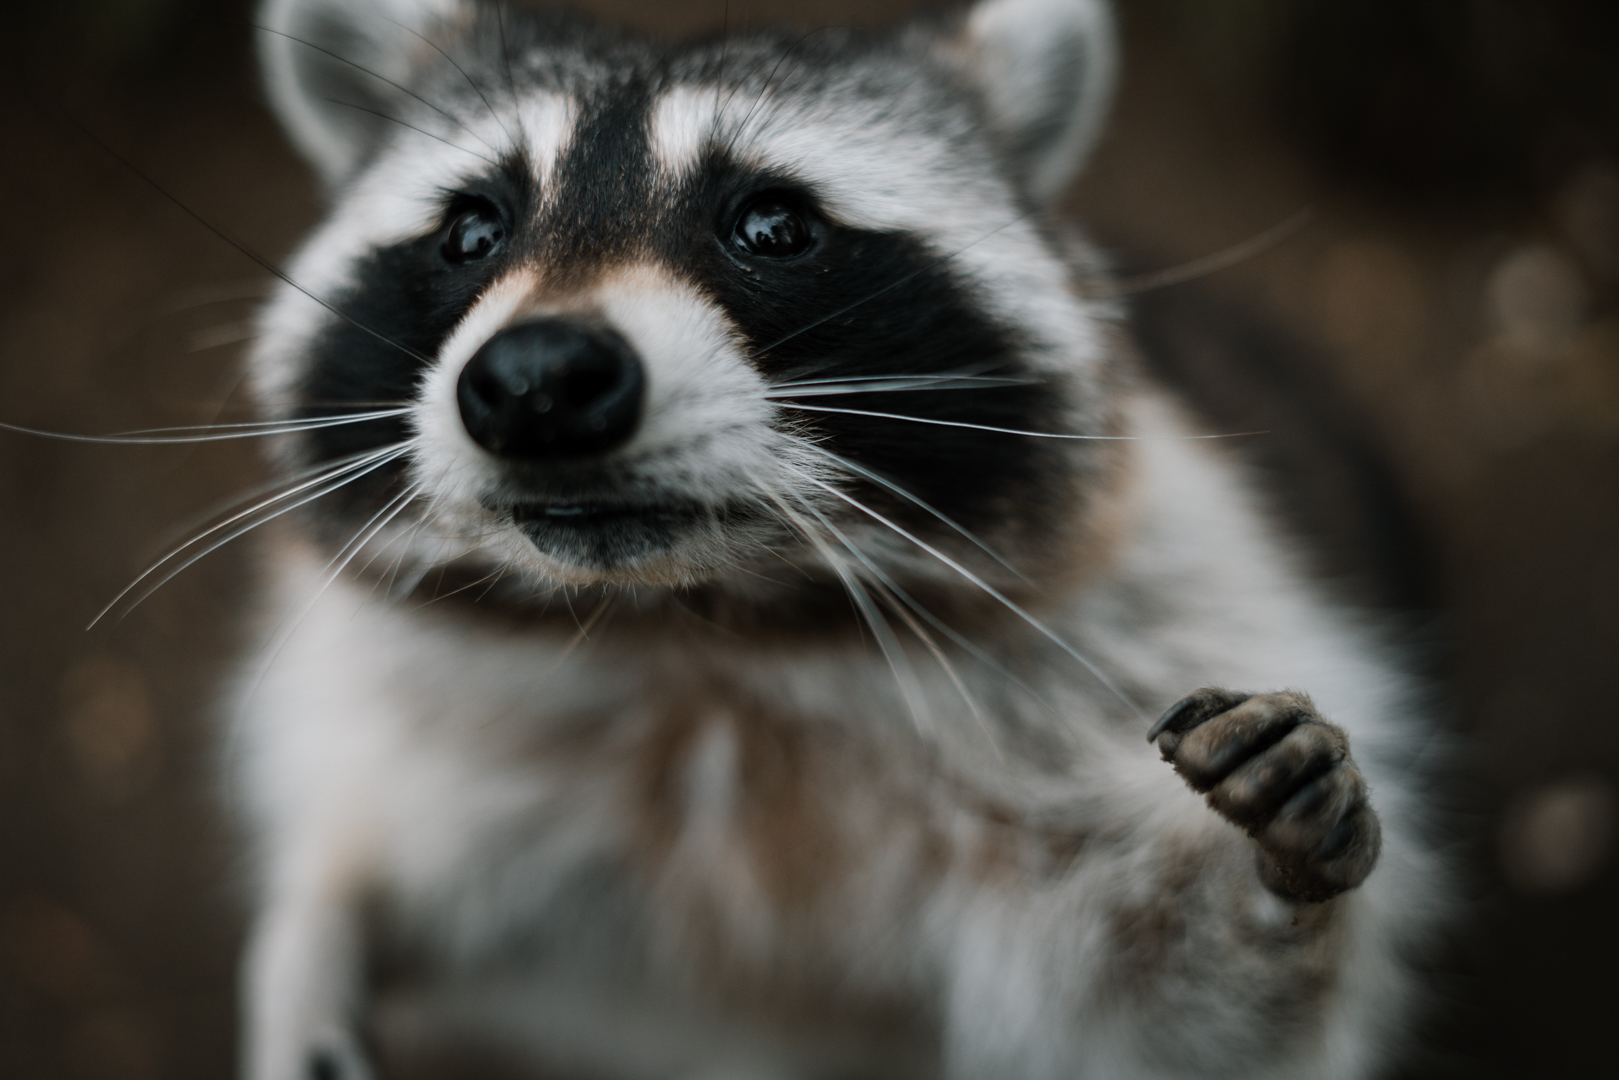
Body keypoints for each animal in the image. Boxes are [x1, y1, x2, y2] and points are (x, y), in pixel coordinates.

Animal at [234, 1, 1441, 1077]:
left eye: (773, 225)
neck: (693, 634)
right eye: (471, 231)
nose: (536, 382)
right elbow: (372, 853)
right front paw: (319, 924)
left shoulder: (1138, 637)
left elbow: (1155, 1024)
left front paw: (1265, 884)